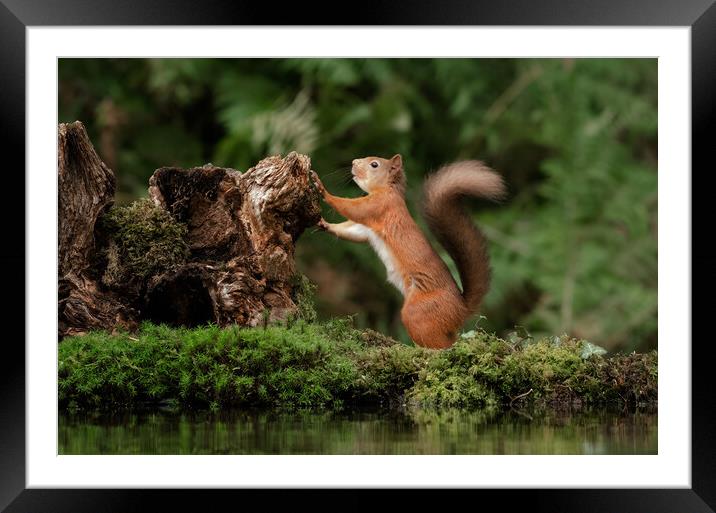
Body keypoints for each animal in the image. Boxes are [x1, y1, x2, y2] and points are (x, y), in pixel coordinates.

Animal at [310, 154, 506, 350]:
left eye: (374, 164)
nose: (353, 162)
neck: (387, 189)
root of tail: (461, 309)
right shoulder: (366, 229)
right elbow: (352, 231)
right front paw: (324, 224)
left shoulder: (379, 206)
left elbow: (351, 208)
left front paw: (322, 189)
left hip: (419, 312)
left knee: (441, 343)